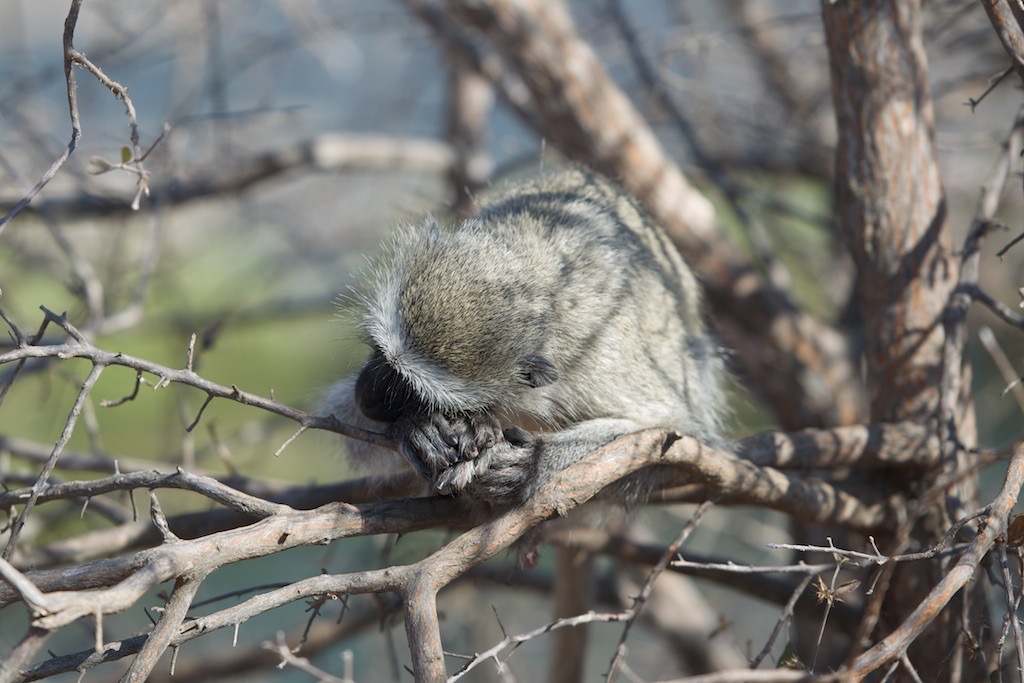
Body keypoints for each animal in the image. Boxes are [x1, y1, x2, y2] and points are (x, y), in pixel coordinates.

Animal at [323, 167, 724, 505]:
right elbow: (342, 417)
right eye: (378, 353)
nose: (367, 395)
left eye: (406, 389)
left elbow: (673, 431)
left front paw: (539, 461)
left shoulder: (601, 363)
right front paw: (417, 428)